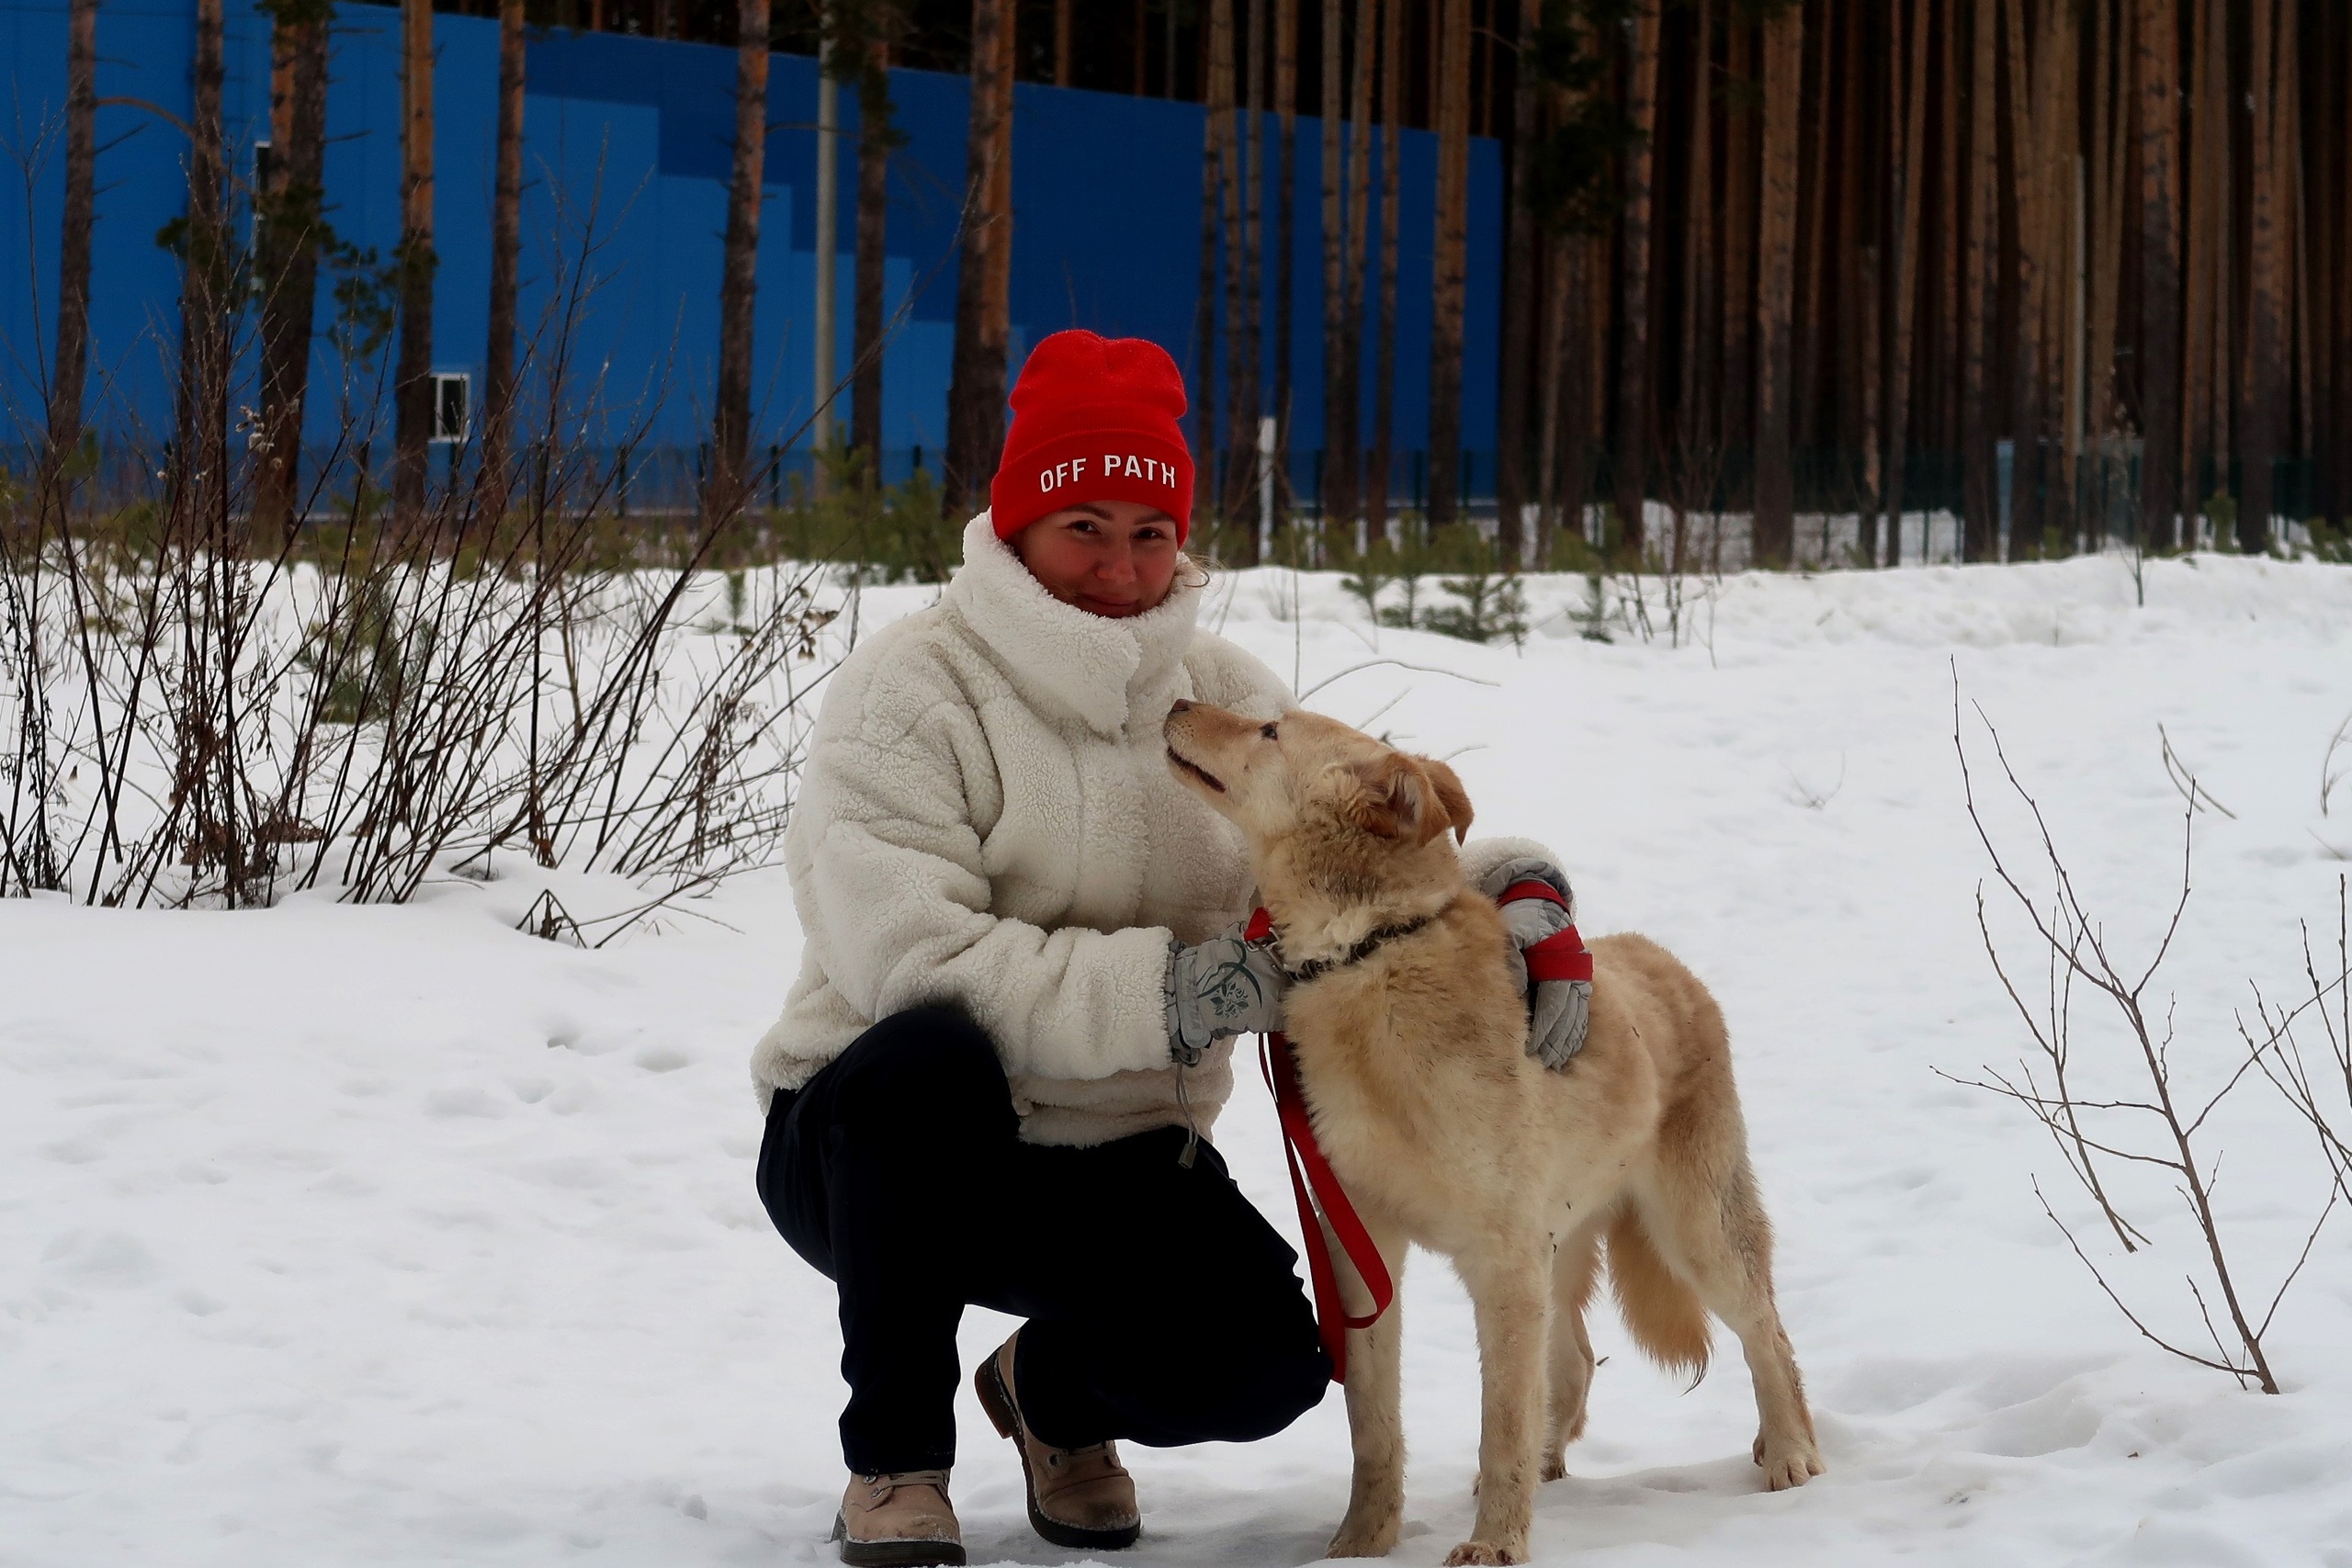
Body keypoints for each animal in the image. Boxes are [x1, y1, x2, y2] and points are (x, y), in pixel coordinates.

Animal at [1161, 700, 1815, 1568]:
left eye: (1270, 729)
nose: (1175, 703)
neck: (1369, 953)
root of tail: (1664, 958)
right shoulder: (1362, 1254)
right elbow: (1374, 1426)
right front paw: (1362, 1541)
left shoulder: (1501, 1262)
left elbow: (1498, 1422)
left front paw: (1496, 1542)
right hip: (1560, 1244)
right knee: (1575, 1359)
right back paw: (1556, 1462)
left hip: (1692, 1232)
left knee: (1766, 1331)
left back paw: (1790, 1450)